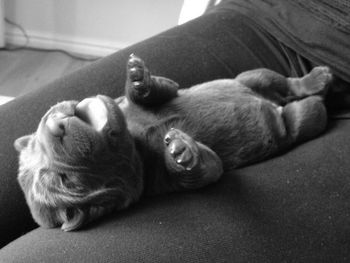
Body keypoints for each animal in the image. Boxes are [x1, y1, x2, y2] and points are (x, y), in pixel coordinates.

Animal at [13, 55, 330, 231]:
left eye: (36, 140)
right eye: (64, 181)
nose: (54, 124)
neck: (137, 142)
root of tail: (276, 104)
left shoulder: (149, 96)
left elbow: (156, 90)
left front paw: (138, 78)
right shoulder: (173, 180)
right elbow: (206, 168)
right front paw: (181, 152)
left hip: (251, 76)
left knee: (283, 81)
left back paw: (315, 79)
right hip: (298, 120)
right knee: (307, 114)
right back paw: (318, 98)